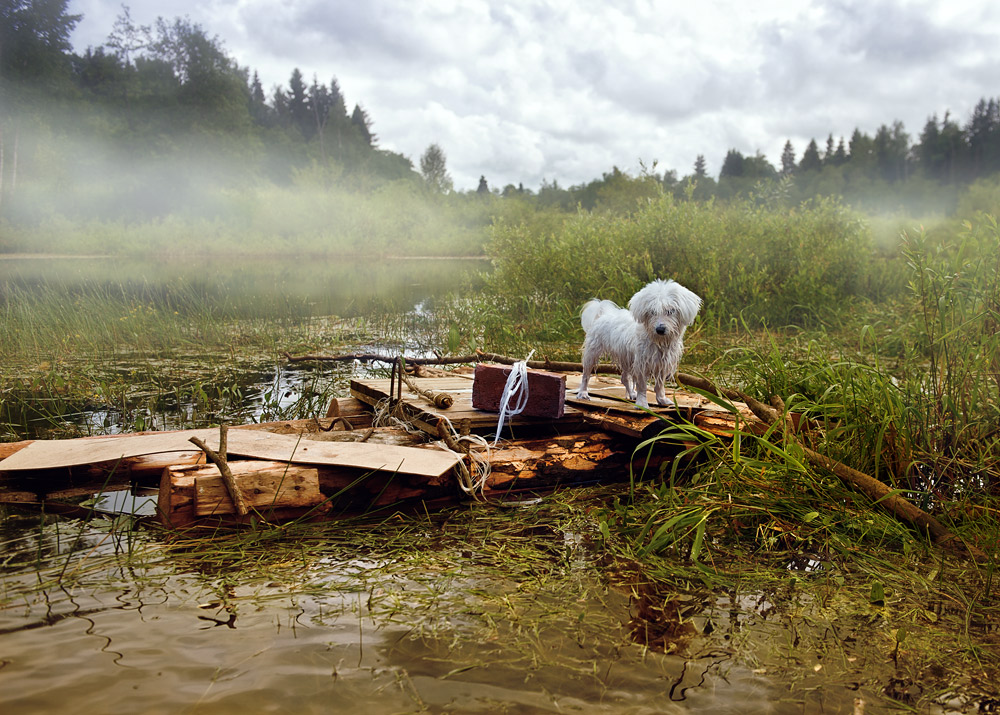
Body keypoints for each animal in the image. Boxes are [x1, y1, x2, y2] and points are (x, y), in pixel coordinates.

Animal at [576, 282, 700, 412]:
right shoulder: (642, 364)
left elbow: (660, 385)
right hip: (592, 352)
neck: (658, 341)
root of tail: (602, 314)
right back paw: (583, 393)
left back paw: (631, 393)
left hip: (626, 358)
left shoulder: (662, 364)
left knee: (625, 378)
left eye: (671, 311)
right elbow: (642, 386)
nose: (660, 329)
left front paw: (662, 400)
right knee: (586, 375)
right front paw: (642, 404)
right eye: (652, 312)